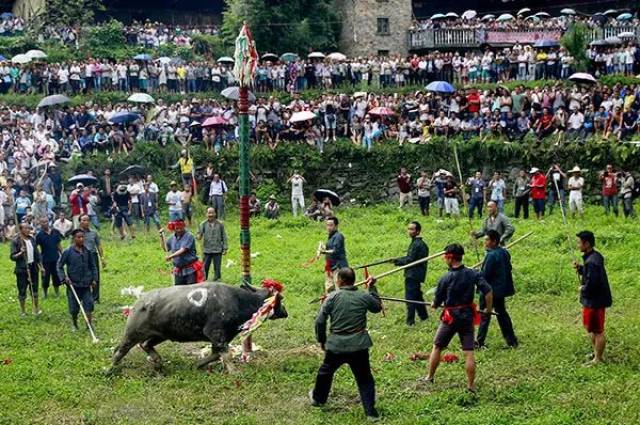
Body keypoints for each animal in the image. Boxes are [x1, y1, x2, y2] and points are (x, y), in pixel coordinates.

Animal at [112, 282, 288, 368]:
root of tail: (139, 303)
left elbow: (216, 354)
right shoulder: (215, 333)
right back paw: (110, 369)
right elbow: (226, 355)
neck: (239, 301)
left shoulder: (220, 338)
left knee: (145, 344)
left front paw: (197, 365)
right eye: (280, 299)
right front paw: (234, 372)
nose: (286, 312)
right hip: (132, 333)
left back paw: (158, 361)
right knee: (120, 350)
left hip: (161, 334)